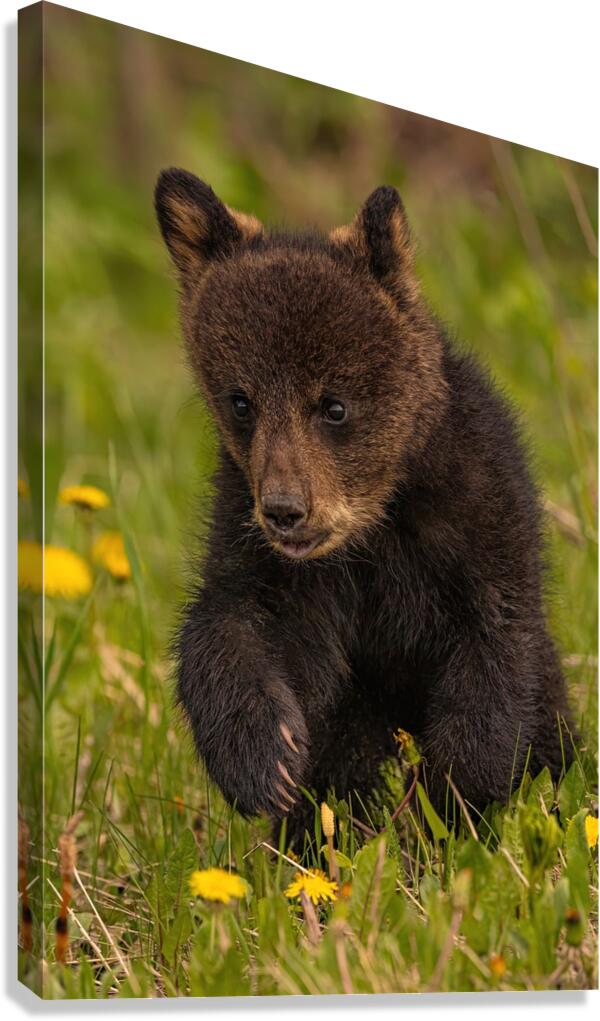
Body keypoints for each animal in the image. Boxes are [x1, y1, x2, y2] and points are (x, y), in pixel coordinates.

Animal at [155, 167, 573, 842]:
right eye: (241, 400)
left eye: (335, 405)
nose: (286, 510)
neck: (374, 522)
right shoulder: (266, 547)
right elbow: (234, 624)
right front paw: (266, 762)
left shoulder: (479, 523)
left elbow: (496, 660)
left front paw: (440, 810)